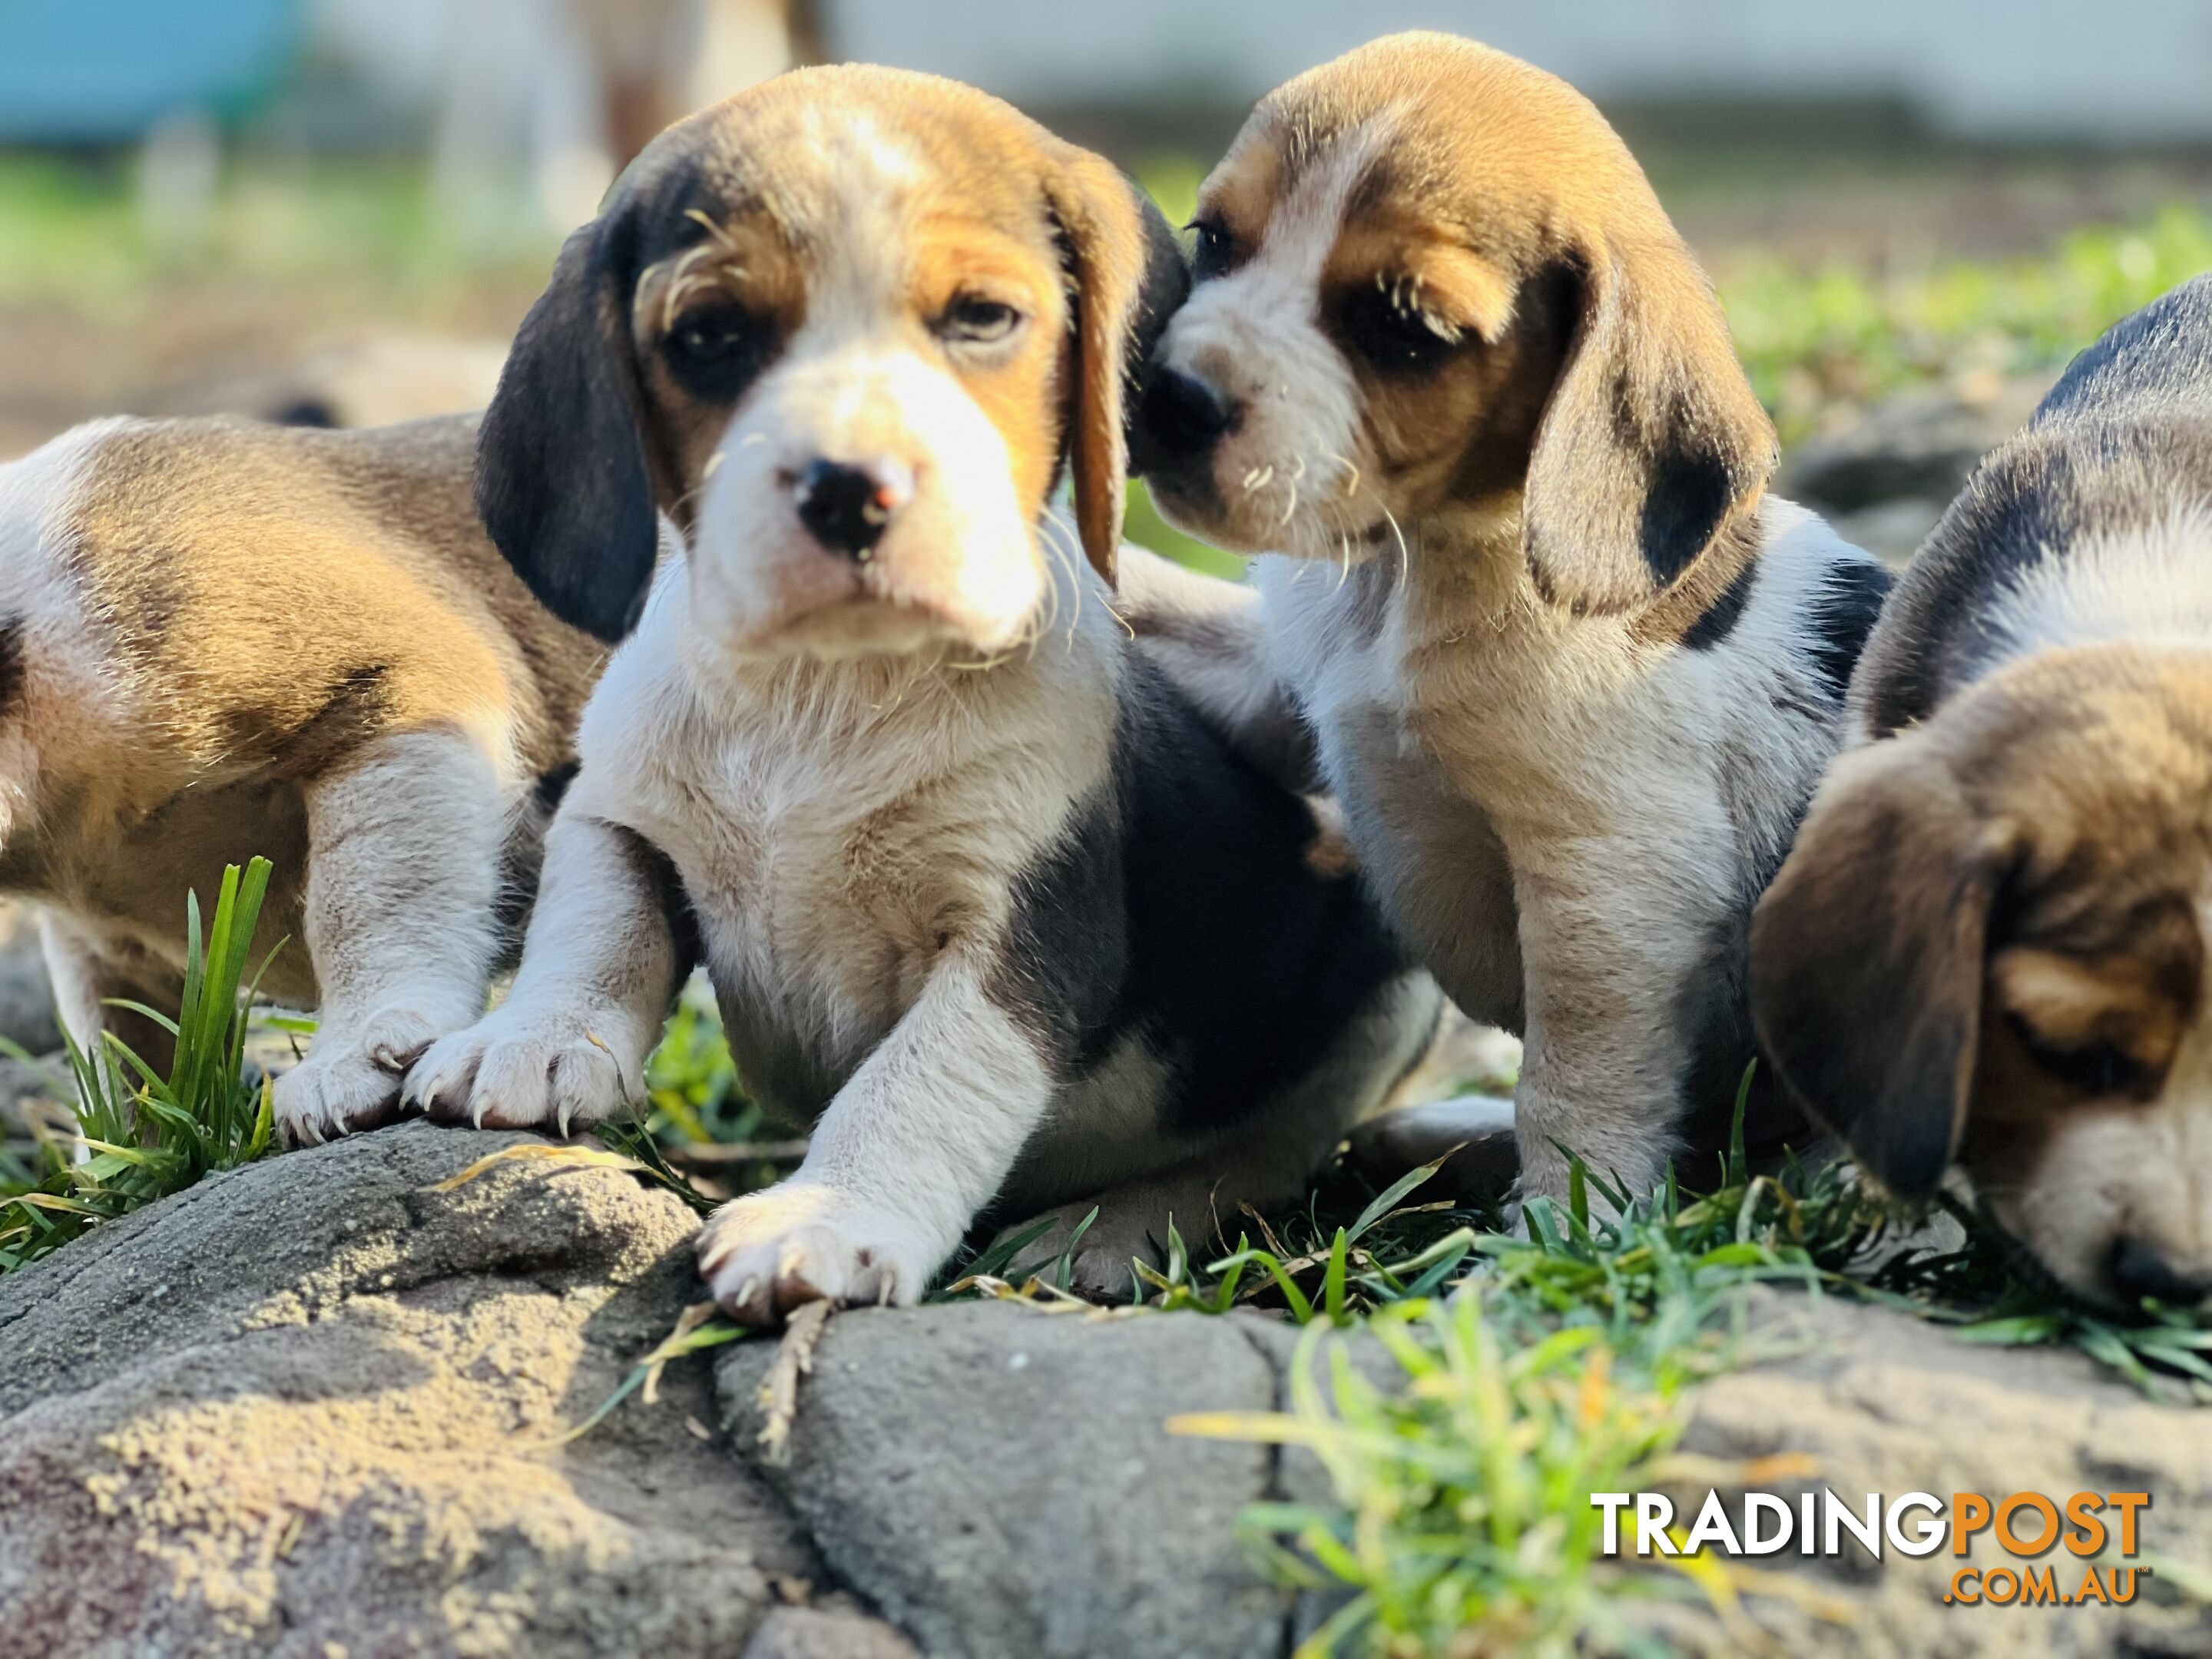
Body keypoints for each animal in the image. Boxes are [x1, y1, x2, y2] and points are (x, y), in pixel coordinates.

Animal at [406, 68, 1442, 1327]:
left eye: (982, 318)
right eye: (710, 336)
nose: (852, 488)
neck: (829, 690)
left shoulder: (1018, 940)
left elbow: (913, 1086)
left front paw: (824, 1216)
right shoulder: (622, 815)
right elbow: (592, 923)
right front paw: (533, 1036)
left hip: (1383, 996)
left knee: (1264, 1157)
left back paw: (1120, 1227)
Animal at [1132, 35, 1893, 1212]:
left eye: (1404, 326)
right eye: (1213, 241)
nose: (1167, 399)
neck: (1414, 571)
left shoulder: (1608, 881)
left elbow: (1573, 1080)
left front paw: (1563, 1223)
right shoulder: (1282, 689)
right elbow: (1180, 612)